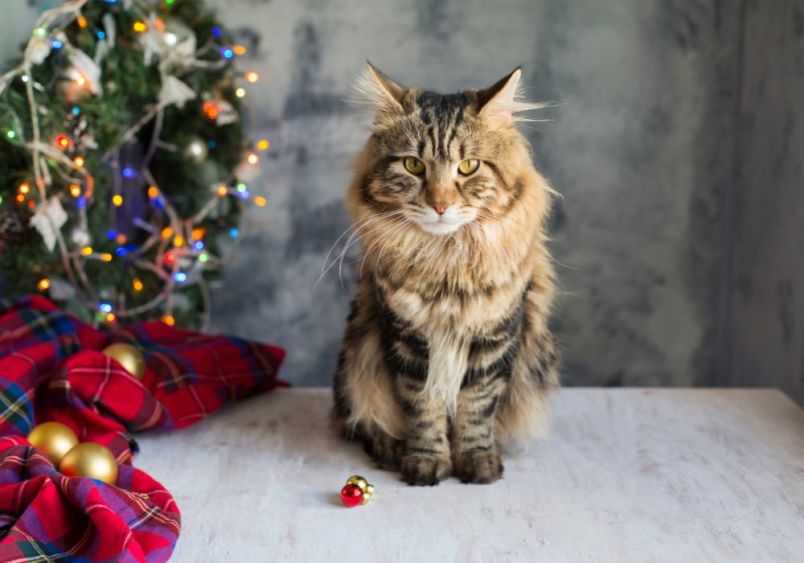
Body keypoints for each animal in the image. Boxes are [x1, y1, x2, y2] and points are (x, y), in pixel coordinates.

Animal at [332, 62, 560, 484]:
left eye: (468, 167)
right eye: (413, 165)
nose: (440, 204)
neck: (447, 261)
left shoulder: (494, 338)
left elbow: (476, 409)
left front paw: (477, 461)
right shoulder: (408, 339)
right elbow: (424, 407)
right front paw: (425, 462)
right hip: (355, 361)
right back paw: (389, 447)